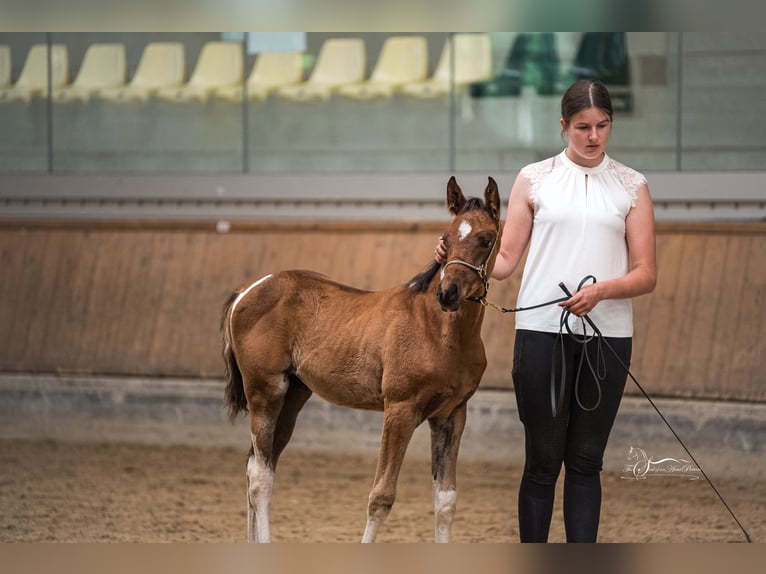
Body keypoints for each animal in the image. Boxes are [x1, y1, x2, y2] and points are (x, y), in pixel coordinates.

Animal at [222, 177, 504, 544]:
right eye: (446, 238)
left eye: (486, 240)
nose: (448, 293)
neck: (440, 330)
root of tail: (247, 289)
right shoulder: (400, 410)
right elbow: (381, 497)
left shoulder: (451, 415)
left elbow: (445, 500)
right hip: (265, 392)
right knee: (259, 476)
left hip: (293, 395)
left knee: (257, 464)